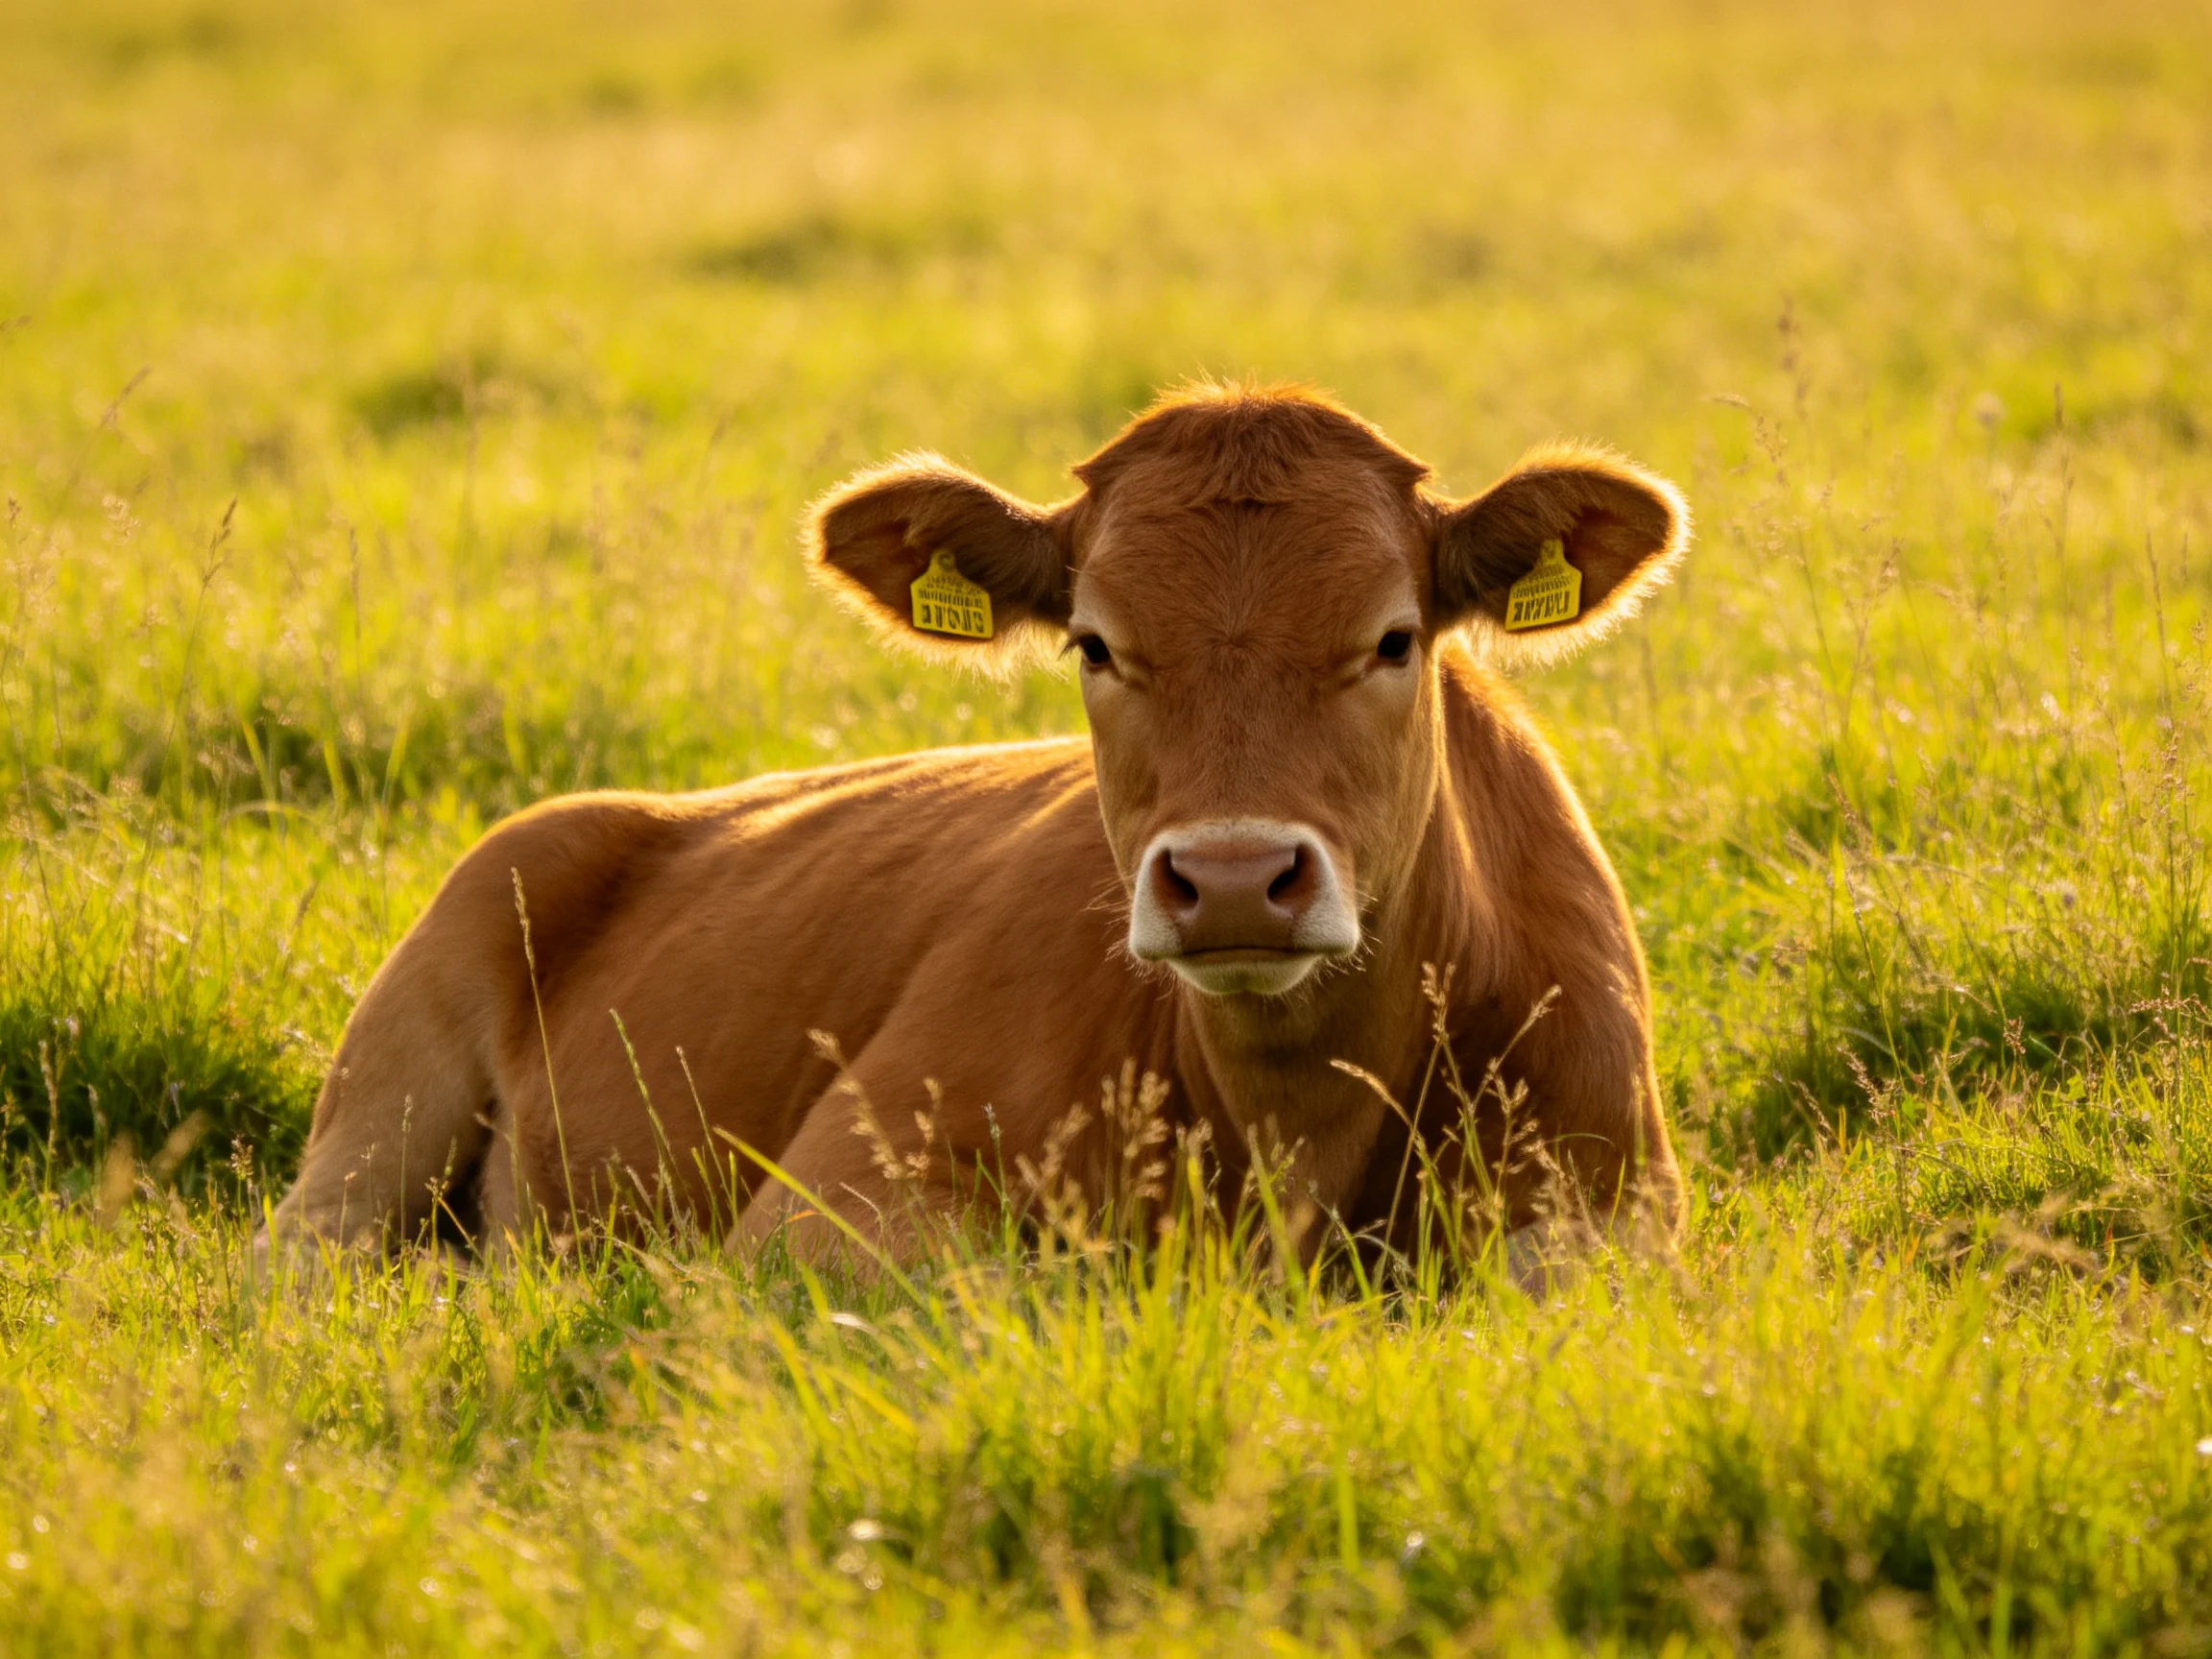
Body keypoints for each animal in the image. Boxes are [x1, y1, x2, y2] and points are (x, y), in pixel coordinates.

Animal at [265, 385, 1689, 1270]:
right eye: (1095, 643)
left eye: (1394, 638)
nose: (1234, 879)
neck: (1294, 1123)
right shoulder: (829, 1201)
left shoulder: (1616, 1206)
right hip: (366, 1131)